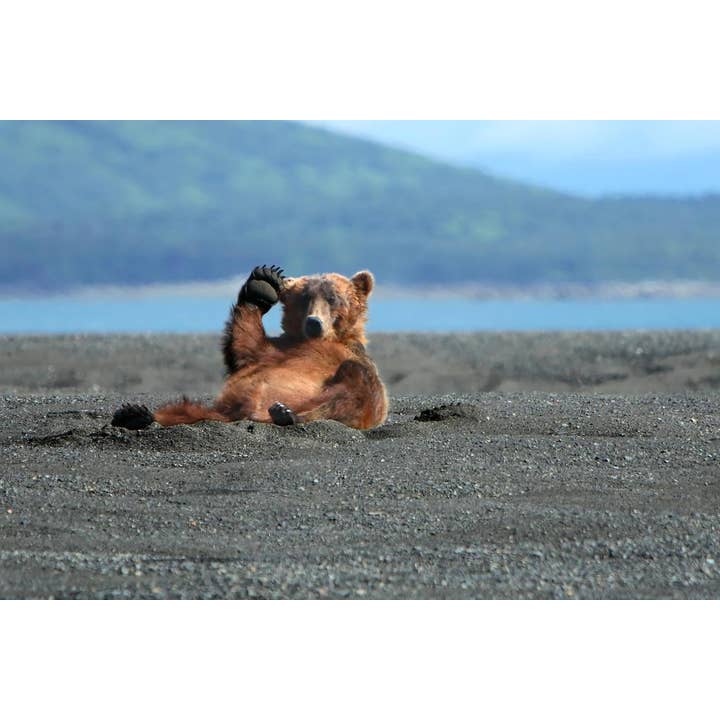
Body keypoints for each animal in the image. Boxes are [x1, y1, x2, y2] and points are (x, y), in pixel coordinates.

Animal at [111, 264, 389, 431]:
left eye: (333, 299)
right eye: (305, 298)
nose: (314, 323)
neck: (319, 341)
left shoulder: (351, 357)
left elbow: (367, 392)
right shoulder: (274, 351)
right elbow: (245, 344)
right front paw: (263, 283)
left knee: (352, 389)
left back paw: (287, 414)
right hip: (215, 410)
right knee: (183, 411)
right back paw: (136, 414)